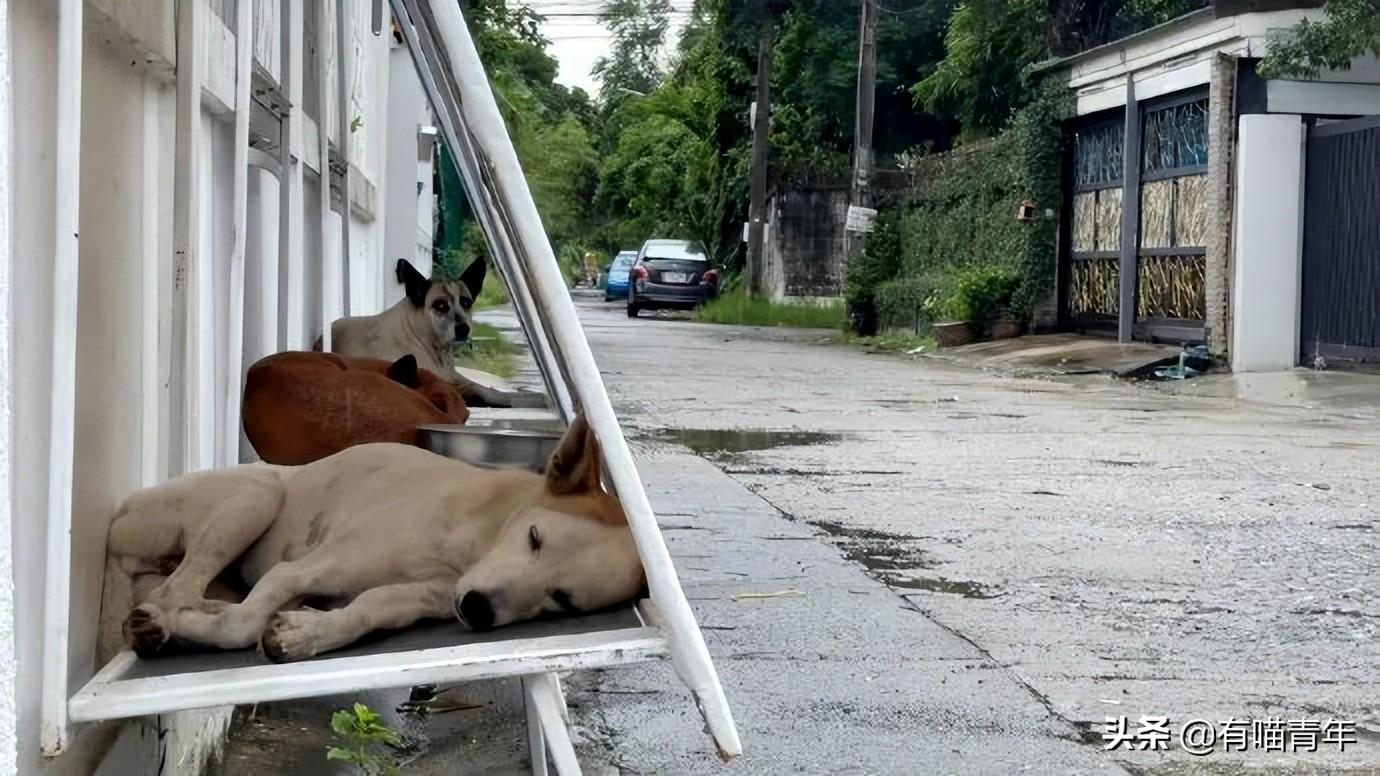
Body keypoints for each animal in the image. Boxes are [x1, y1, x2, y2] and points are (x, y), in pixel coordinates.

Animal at [107, 411, 645, 657]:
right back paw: (165, 620)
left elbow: (367, 610)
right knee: (176, 590)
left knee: (177, 591)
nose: (477, 610)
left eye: (562, 600)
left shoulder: (419, 597)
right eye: (534, 537)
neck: (472, 540)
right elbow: (242, 625)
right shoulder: (296, 571)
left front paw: (311, 630)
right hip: (257, 495)